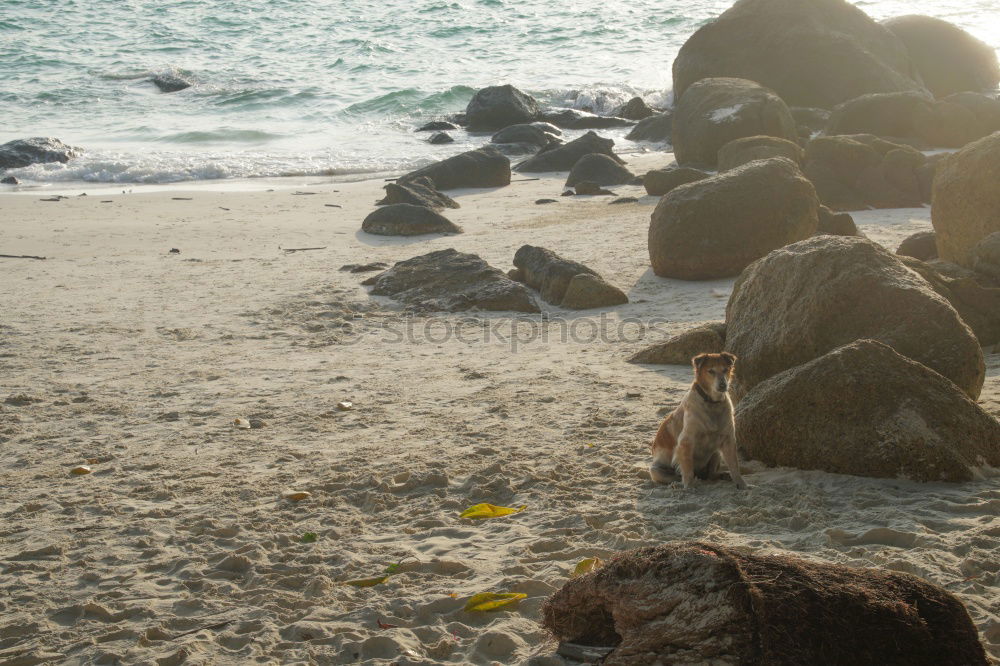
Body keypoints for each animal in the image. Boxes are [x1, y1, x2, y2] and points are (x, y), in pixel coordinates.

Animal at [652, 352, 748, 488]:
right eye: (711, 371)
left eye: (725, 370)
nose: (723, 385)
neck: (712, 403)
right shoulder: (685, 442)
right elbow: (687, 470)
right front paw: (689, 487)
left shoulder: (728, 440)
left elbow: (735, 466)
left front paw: (742, 485)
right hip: (656, 470)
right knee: (676, 478)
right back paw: (677, 485)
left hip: (715, 453)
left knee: (711, 474)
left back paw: (723, 475)